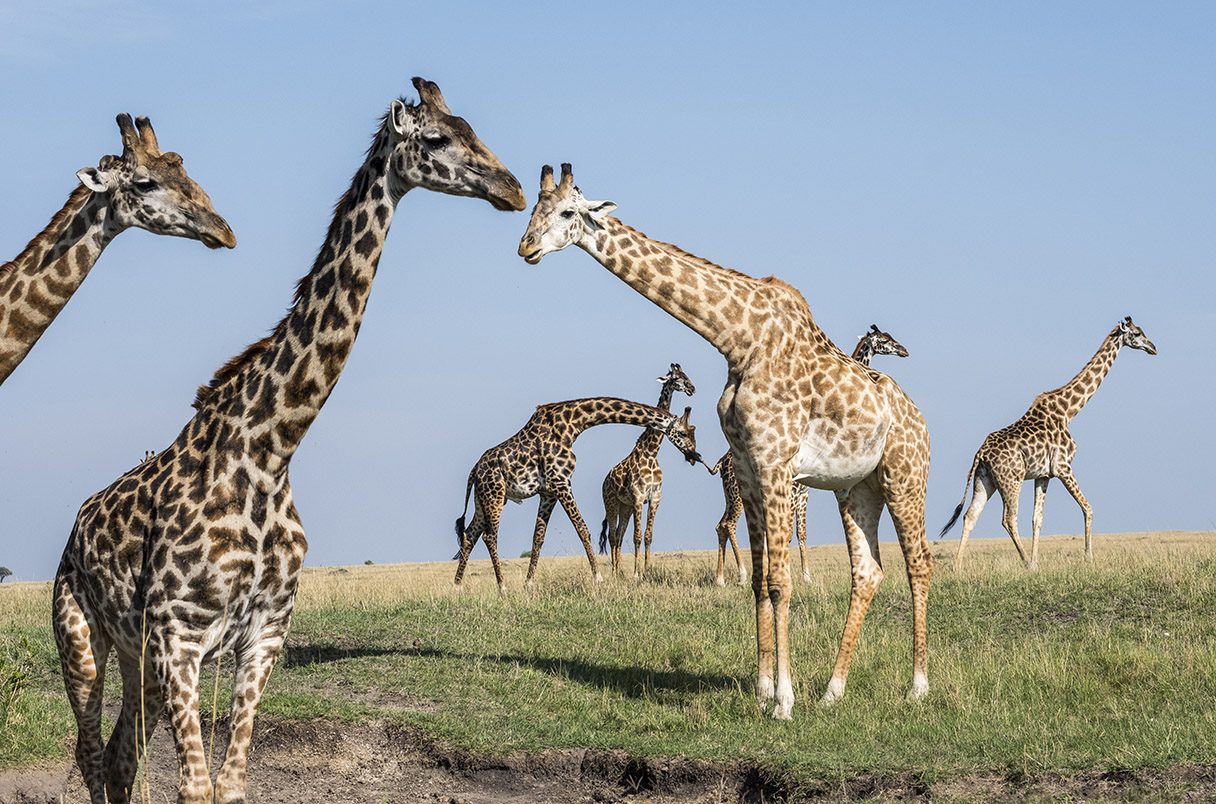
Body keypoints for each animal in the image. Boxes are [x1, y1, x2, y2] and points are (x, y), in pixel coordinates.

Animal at [52, 78, 523, 804]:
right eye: (438, 138)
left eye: (476, 129)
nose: (513, 188)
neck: (269, 452)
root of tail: (74, 529)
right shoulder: (180, 637)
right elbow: (196, 788)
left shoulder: (264, 634)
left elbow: (231, 783)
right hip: (83, 636)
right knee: (90, 753)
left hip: (137, 657)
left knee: (122, 753)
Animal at [454, 397, 701, 593]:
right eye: (682, 432)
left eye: (693, 433)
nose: (694, 455)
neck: (573, 425)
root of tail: (474, 471)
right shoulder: (562, 482)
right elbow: (582, 529)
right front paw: (598, 578)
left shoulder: (549, 492)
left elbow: (538, 538)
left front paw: (529, 584)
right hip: (494, 495)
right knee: (489, 536)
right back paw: (502, 587)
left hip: (483, 500)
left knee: (469, 535)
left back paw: (457, 586)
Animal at [598, 363, 696, 578]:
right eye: (676, 378)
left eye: (686, 374)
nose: (692, 388)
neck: (651, 453)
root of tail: (605, 479)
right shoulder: (638, 497)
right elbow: (637, 536)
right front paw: (636, 574)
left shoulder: (655, 497)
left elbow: (648, 536)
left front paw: (647, 571)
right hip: (611, 502)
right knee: (612, 535)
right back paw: (614, 573)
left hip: (625, 507)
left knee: (619, 535)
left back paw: (619, 571)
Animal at [710, 325, 910, 587]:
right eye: (885, 340)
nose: (904, 350)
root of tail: (721, 464)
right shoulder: (802, 493)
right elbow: (795, 533)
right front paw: (804, 576)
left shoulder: (800, 493)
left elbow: (790, 533)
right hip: (739, 494)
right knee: (728, 524)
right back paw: (740, 576)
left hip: (730, 494)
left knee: (721, 525)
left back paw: (721, 578)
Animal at [940, 316, 1156, 570]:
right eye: (1137, 333)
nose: (1153, 347)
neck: (1068, 411)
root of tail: (980, 453)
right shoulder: (1063, 466)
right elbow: (1088, 507)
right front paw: (1088, 557)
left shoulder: (1044, 475)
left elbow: (1038, 519)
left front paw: (1038, 561)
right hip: (1011, 479)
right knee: (1008, 518)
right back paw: (1025, 562)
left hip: (985, 480)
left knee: (970, 515)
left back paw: (958, 566)